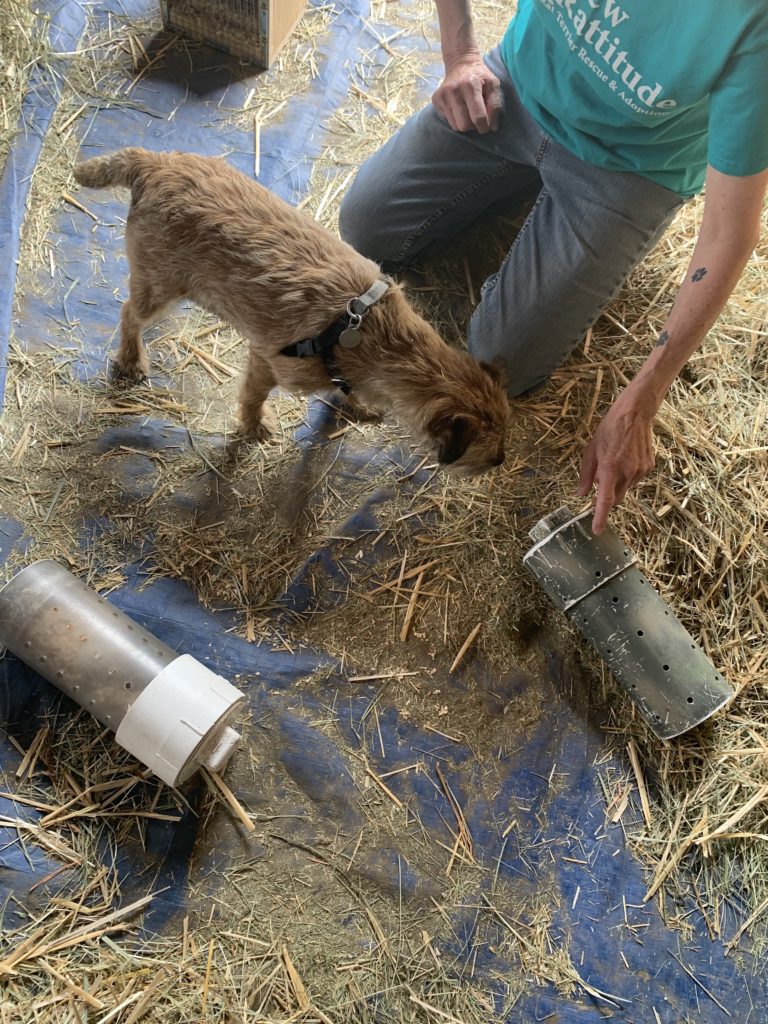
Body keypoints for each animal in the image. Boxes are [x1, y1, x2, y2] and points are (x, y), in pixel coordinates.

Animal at [75, 148, 514, 475]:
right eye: (488, 449)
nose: (502, 460)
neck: (366, 327)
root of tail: (154, 161)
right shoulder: (266, 361)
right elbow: (252, 397)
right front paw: (254, 425)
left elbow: (347, 389)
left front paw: (360, 404)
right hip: (158, 289)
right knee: (129, 315)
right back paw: (132, 357)